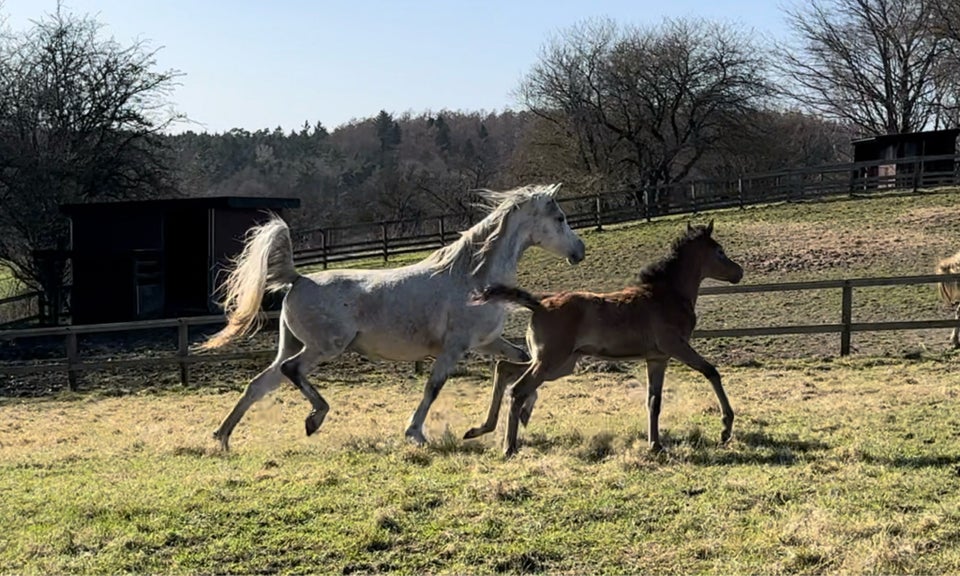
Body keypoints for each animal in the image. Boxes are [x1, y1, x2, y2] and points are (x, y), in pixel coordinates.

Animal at [197, 183, 584, 450]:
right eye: (560, 218)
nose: (579, 251)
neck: (473, 277)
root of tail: (298, 278)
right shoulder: (455, 347)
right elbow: (434, 386)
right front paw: (415, 433)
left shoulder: (487, 342)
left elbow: (523, 358)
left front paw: (527, 409)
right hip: (325, 347)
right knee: (292, 371)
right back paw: (314, 418)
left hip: (291, 345)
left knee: (259, 383)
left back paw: (222, 438)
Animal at [468, 223, 748, 456]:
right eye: (719, 251)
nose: (739, 272)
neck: (667, 294)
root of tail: (539, 304)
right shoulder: (676, 346)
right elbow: (711, 371)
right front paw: (725, 428)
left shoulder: (657, 358)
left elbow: (653, 401)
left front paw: (655, 445)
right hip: (550, 362)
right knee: (517, 390)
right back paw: (508, 447)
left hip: (558, 363)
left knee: (504, 368)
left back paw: (479, 429)